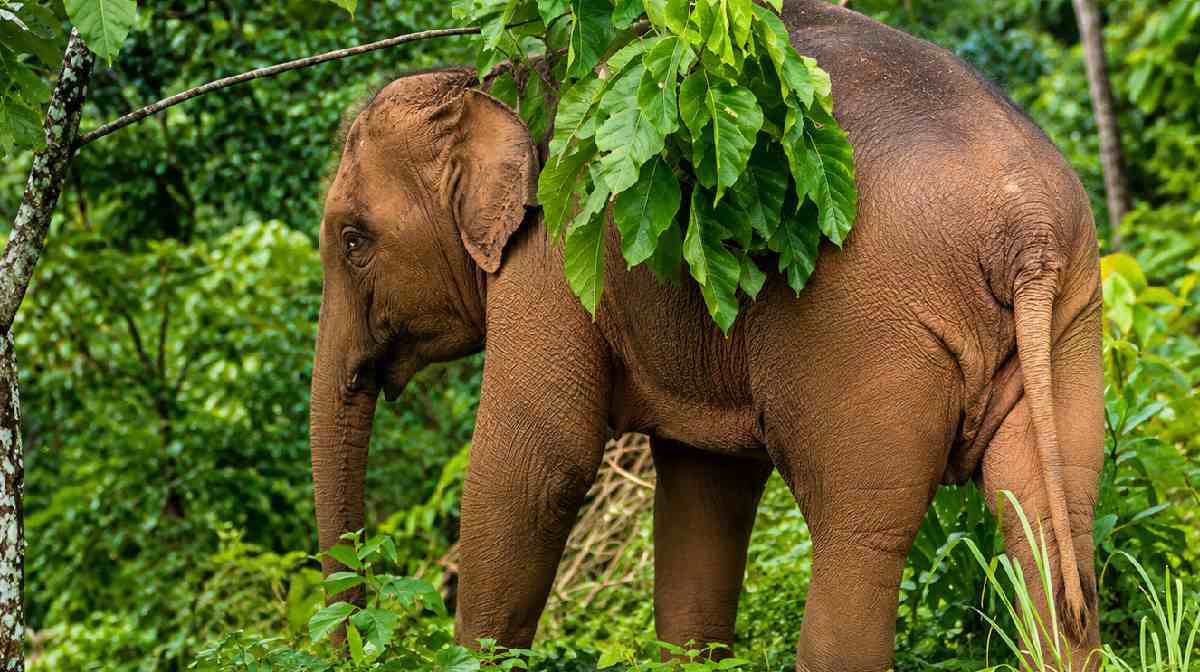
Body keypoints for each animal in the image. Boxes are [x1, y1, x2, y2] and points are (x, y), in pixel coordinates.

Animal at [308, 1, 1104, 670]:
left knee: (859, 536)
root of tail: (1027, 230)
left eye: (352, 240)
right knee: (1050, 520)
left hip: (873, 332)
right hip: (1070, 322)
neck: (497, 81)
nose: (350, 645)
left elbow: (539, 464)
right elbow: (704, 486)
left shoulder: (554, 249)